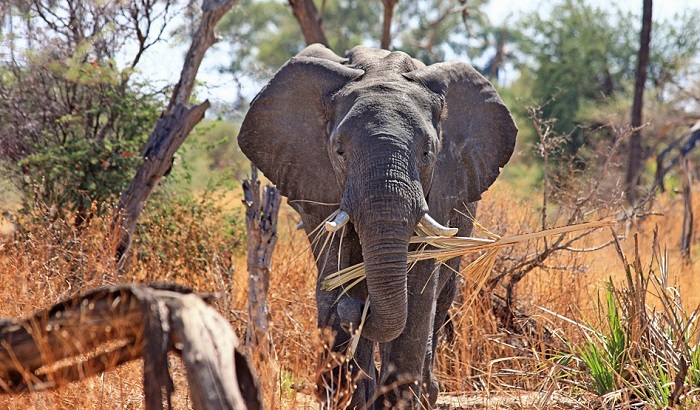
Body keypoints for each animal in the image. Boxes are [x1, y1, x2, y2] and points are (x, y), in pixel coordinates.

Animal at [238, 43, 516, 408]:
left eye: (427, 153)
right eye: (339, 151)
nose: (357, 310)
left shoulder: (441, 188)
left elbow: (419, 287)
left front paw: (393, 402)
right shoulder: (321, 184)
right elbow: (339, 267)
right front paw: (351, 396)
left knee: (442, 297)